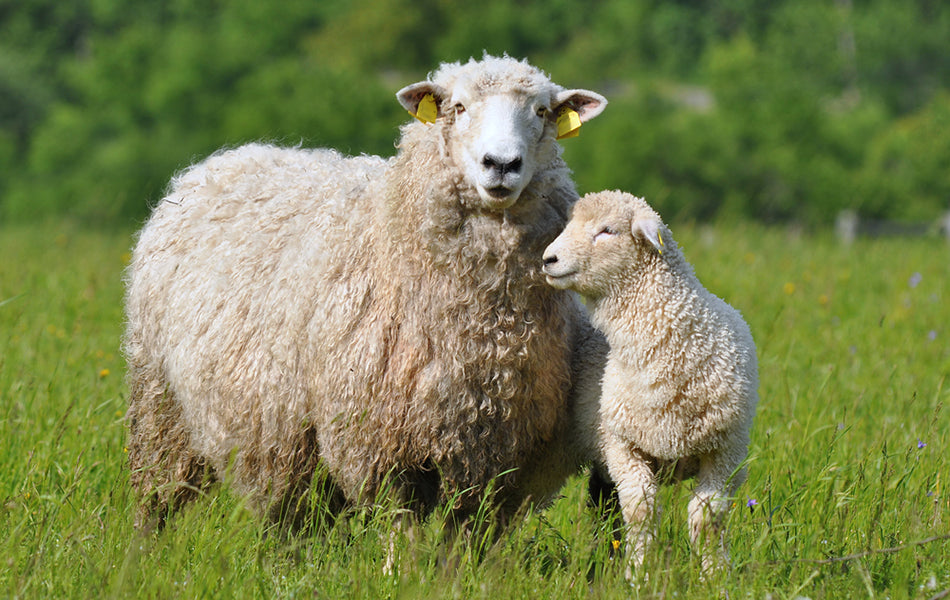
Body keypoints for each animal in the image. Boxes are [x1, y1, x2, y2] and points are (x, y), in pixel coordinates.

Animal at [122, 54, 607, 532]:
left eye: (541, 111)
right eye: (458, 107)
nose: (502, 164)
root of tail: (228, 158)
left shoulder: (490, 451)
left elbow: (463, 537)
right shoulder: (380, 443)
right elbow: (403, 531)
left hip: (288, 440)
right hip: (159, 401)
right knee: (155, 498)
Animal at [541, 190, 758, 575]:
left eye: (607, 230)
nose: (548, 259)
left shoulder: (726, 452)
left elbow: (706, 518)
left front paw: (715, 574)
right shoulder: (621, 444)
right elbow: (641, 511)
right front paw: (639, 572)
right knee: (605, 503)